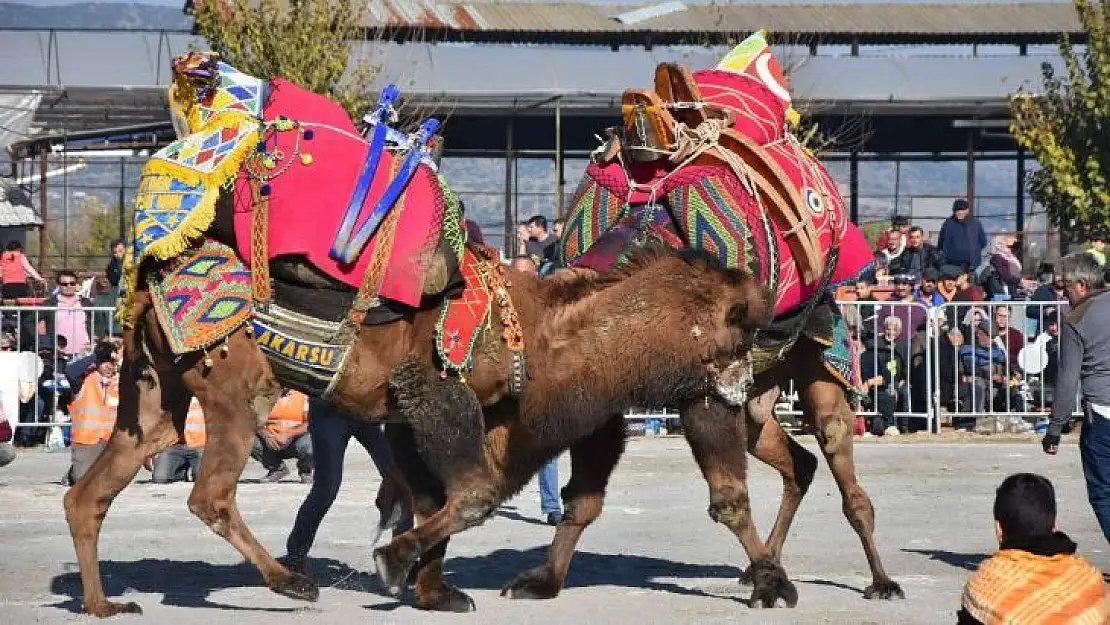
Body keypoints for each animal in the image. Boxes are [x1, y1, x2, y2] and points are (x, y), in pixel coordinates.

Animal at [62, 52, 772, 617]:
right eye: (740, 329)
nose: (747, 389)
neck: (541, 336)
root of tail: (148, 273)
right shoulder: (435, 389)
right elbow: (474, 493)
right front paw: (393, 564)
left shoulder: (405, 414)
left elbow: (434, 494)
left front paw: (434, 590)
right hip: (237, 391)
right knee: (208, 496)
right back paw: (291, 582)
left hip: (155, 391)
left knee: (91, 491)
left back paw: (105, 604)